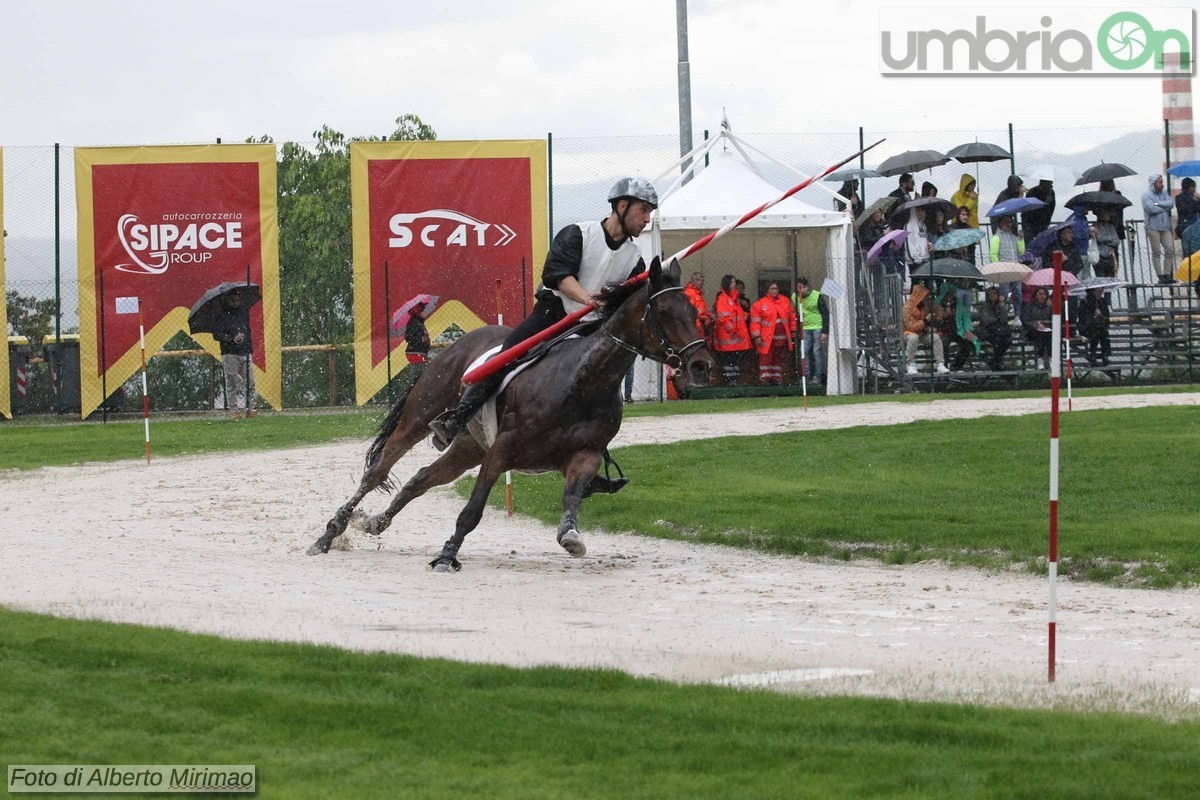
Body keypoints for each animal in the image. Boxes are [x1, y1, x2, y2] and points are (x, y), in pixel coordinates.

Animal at [309, 256, 710, 568]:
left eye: (694, 310)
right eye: (663, 311)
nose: (702, 364)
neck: (581, 382)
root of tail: (454, 345)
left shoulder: (585, 455)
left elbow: (571, 500)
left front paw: (571, 535)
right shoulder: (501, 451)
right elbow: (472, 510)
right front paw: (446, 556)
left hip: (468, 447)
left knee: (420, 479)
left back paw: (375, 523)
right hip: (422, 417)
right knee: (377, 472)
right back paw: (330, 533)